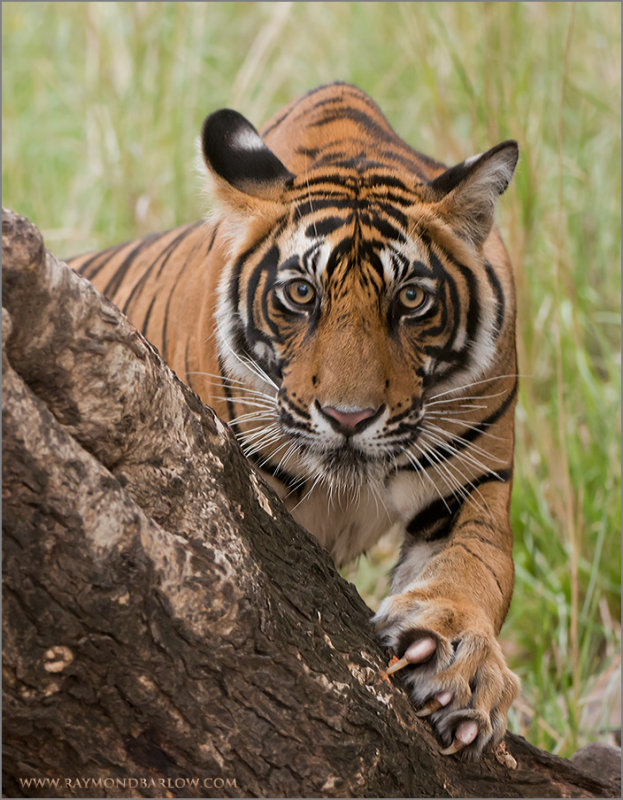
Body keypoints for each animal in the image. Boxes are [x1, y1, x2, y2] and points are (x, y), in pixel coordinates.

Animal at [69, 83, 520, 764]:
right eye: (302, 294)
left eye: (411, 299)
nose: (348, 417)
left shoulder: (474, 483)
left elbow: (481, 564)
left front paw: (459, 665)